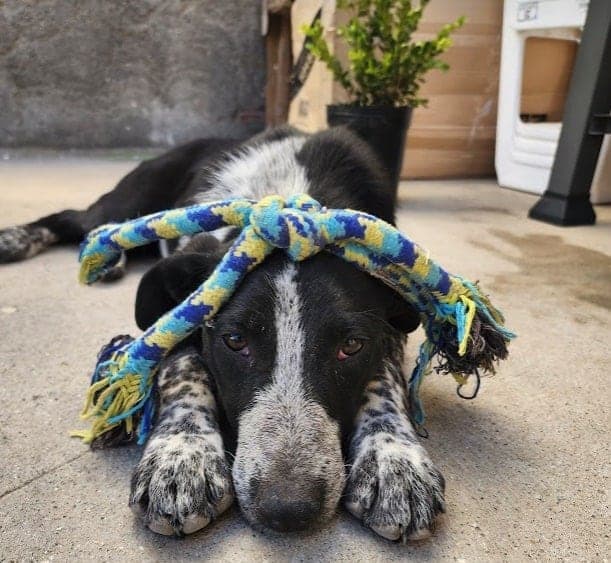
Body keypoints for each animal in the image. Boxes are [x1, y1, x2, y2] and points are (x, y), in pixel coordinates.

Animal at [2, 126, 448, 540]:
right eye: (235, 341)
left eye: (351, 346)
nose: (287, 510)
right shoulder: (181, 305)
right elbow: (183, 368)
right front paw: (181, 456)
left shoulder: (389, 328)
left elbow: (385, 381)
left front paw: (394, 461)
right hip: (130, 199)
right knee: (81, 223)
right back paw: (20, 239)